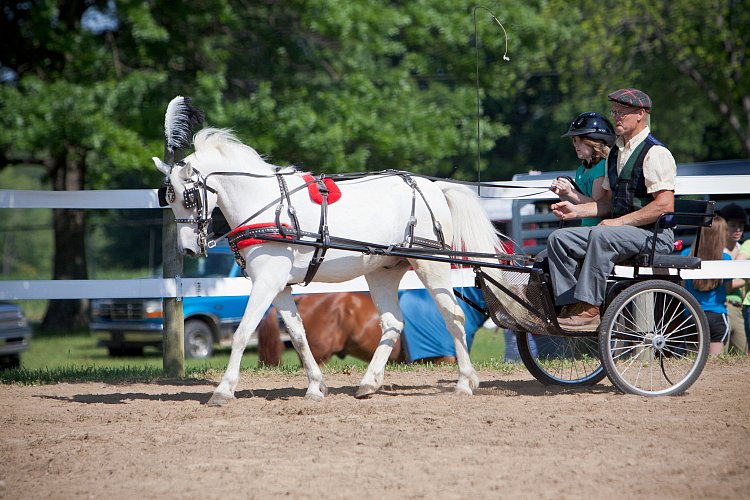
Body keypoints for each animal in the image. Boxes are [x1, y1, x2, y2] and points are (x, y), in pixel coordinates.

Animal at [156, 127, 516, 404]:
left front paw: (224, 389)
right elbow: (298, 335)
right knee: (393, 323)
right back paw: (369, 383)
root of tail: (433, 187)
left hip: (432, 268)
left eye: (188, 197)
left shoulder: (266, 282)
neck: (266, 207)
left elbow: (244, 331)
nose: (187, 249)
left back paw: (465, 382)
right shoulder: (280, 286)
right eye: (167, 198)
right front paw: (316, 386)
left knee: (453, 317)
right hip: (382, 273)